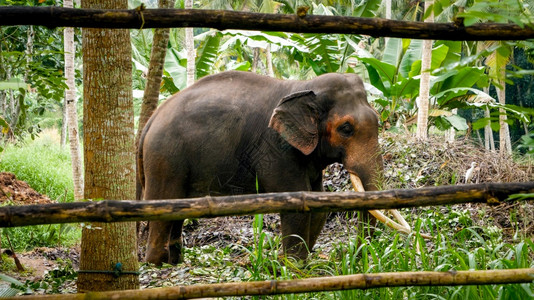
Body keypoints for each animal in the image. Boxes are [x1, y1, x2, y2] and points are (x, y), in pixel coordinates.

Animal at [136, 70, 384, 264]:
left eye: (378, 120)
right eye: (346, 129)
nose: (355, 254)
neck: (302, 87)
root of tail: (150, 121)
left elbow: (317, 201)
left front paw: (300, 264)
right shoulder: (276, 149)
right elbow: (296, 201)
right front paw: (295, 267)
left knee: (179, 210)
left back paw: (174, 262)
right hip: (165, 158)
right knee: (164, 206)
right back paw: (157, 264)